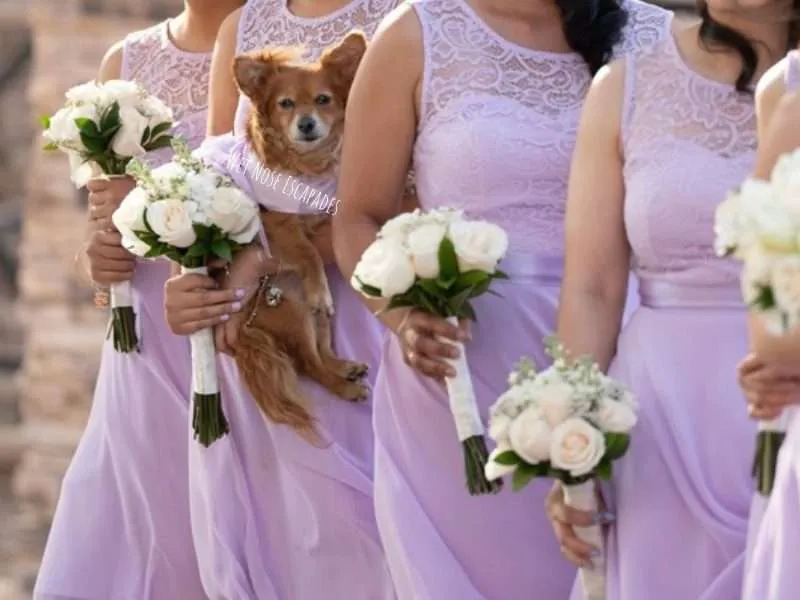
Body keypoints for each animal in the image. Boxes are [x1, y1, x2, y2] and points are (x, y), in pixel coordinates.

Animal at [230, 30, 370, 438]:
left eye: (323, 100)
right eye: (285, 104)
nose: (306, 124)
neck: (306, 166)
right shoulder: (277, 227)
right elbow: (307, 252)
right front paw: (318, 281)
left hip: (312, 319)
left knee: (320, 351)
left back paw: (342, 367)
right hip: (292, 313)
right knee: (309, 365)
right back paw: (343, 386)